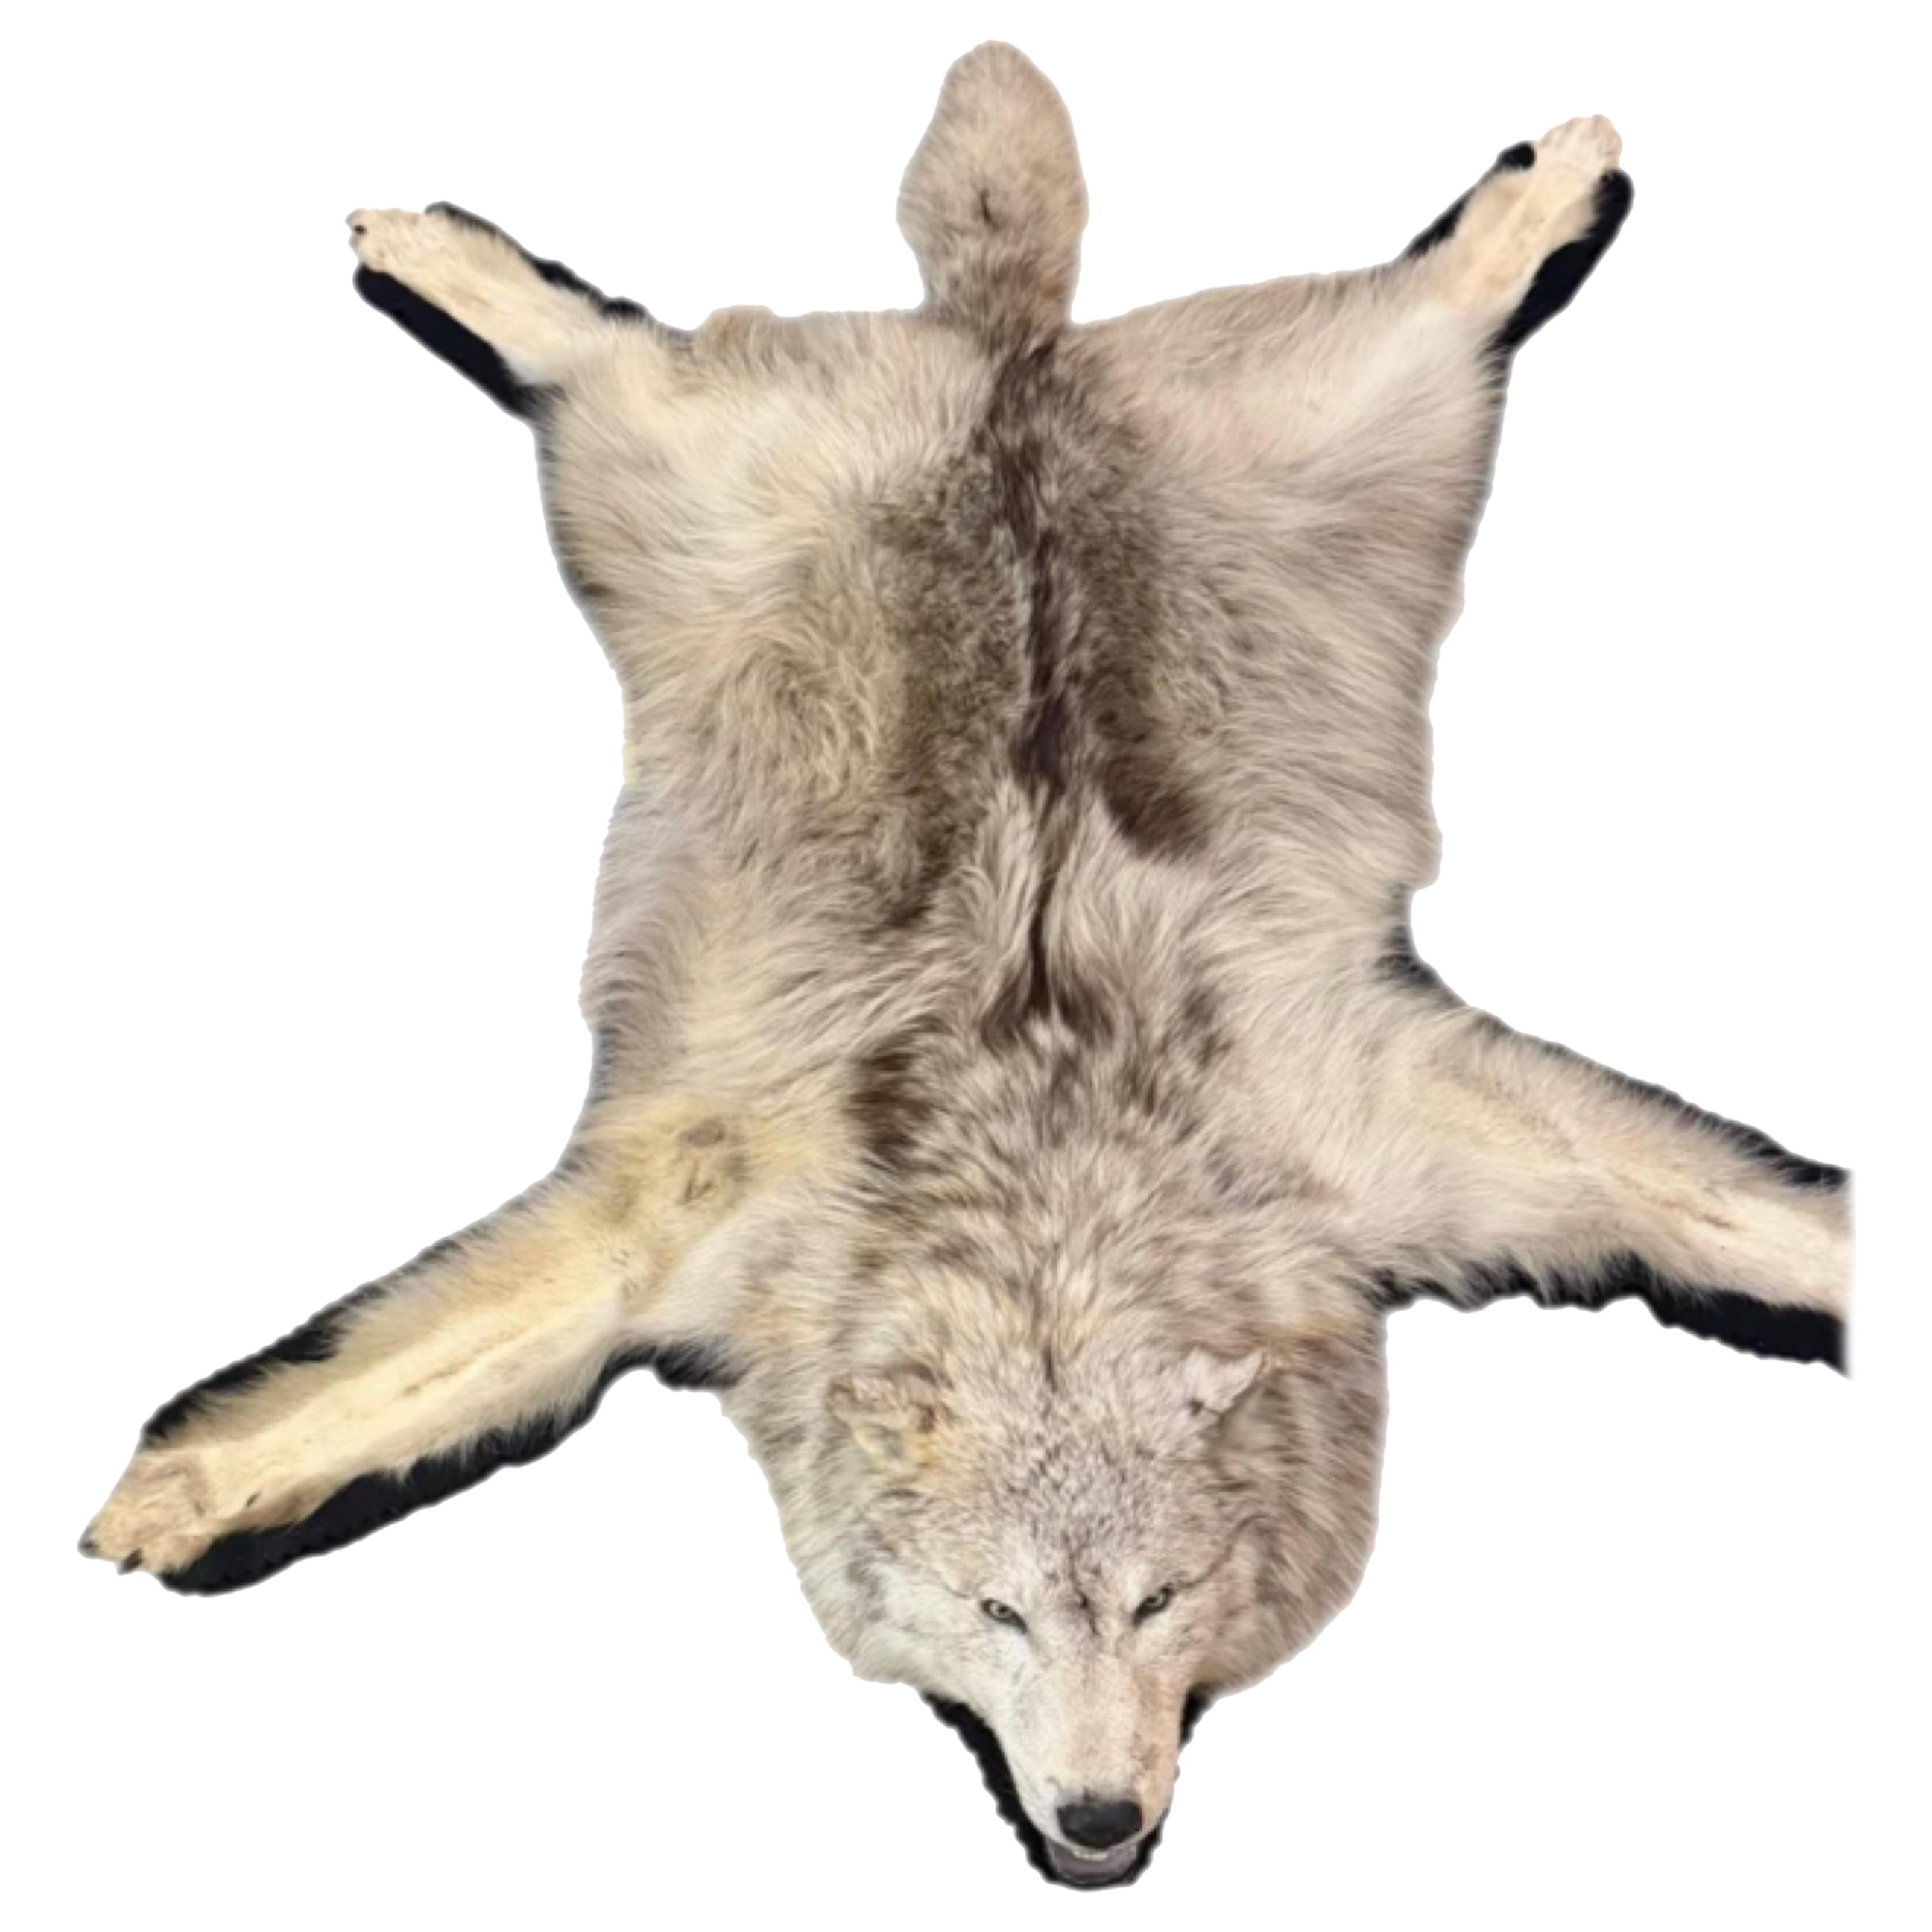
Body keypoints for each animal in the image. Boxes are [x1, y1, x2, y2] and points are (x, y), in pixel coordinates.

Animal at [82, 43, 1848, 1888]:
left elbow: (1747, 1217)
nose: (1094, 1822)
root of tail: (1013, 343)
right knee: (591, 348)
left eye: (1158, 1601)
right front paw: (183, 1495)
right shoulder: (688, 1220)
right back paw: (445, 258)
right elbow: (381, 1386)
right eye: (997, 1613)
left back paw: (1543, 192)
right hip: (672, 467)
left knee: (1443, 292)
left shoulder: (1391, 1145)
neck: (1050, 1199)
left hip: (1372, 415)